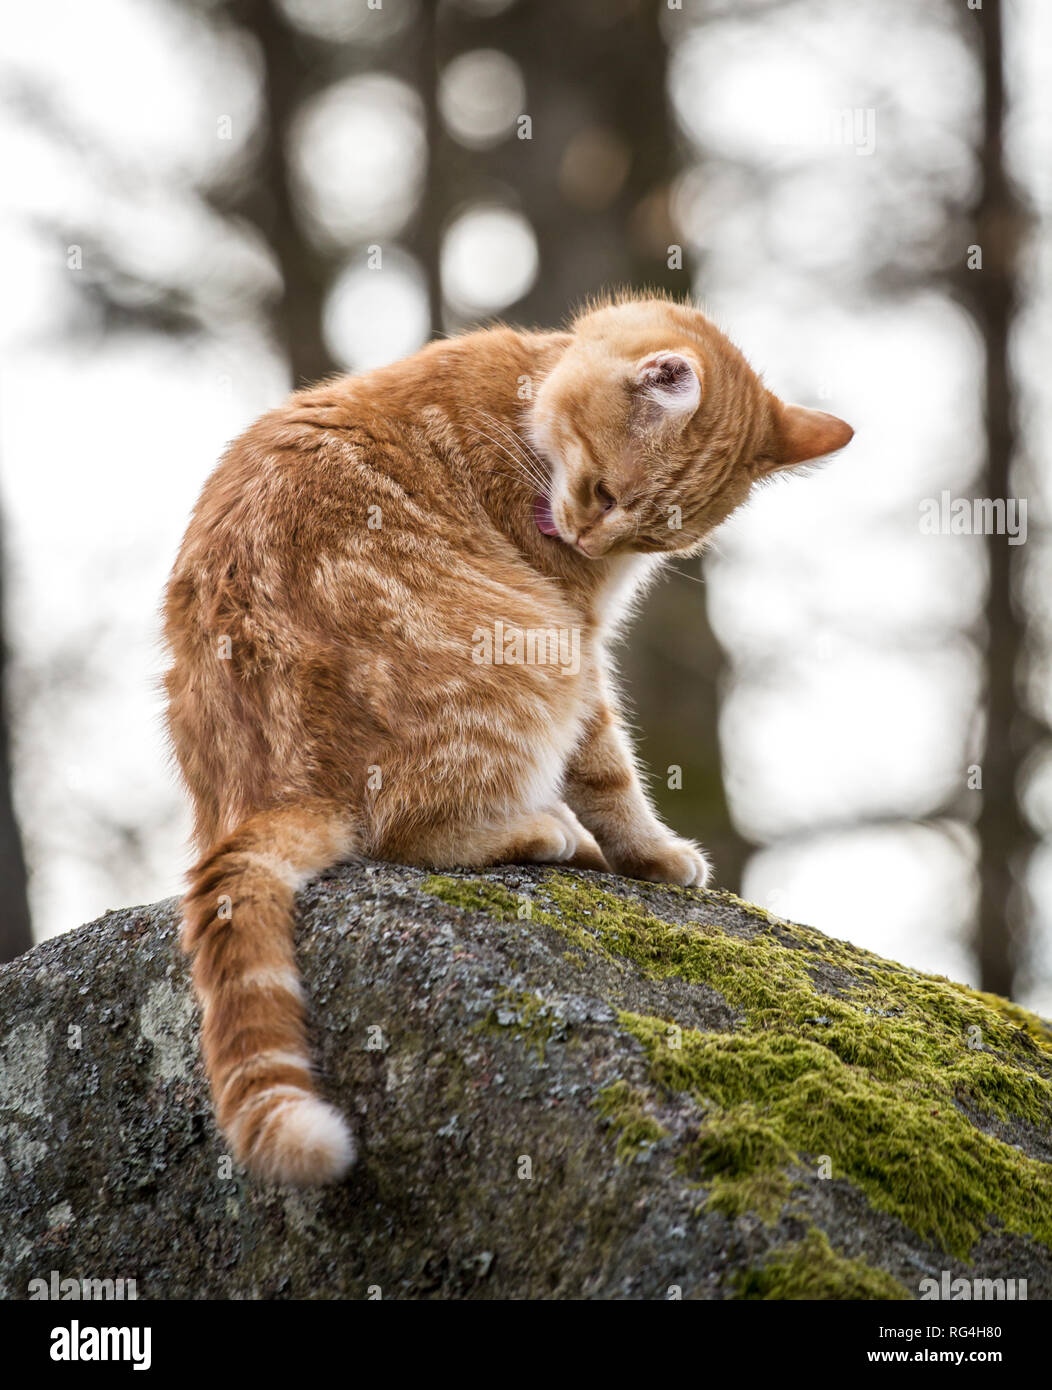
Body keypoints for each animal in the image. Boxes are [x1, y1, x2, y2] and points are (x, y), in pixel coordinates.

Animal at [163, 293, 856, 1184]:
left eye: (656, 538)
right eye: (602, 490)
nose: (585, 541)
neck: (524, 397)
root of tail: (267, 796)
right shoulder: (581, 648)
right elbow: (611, 775)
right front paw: (651, 854)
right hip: (531, 655)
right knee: (408, 835)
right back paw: (544, 832)